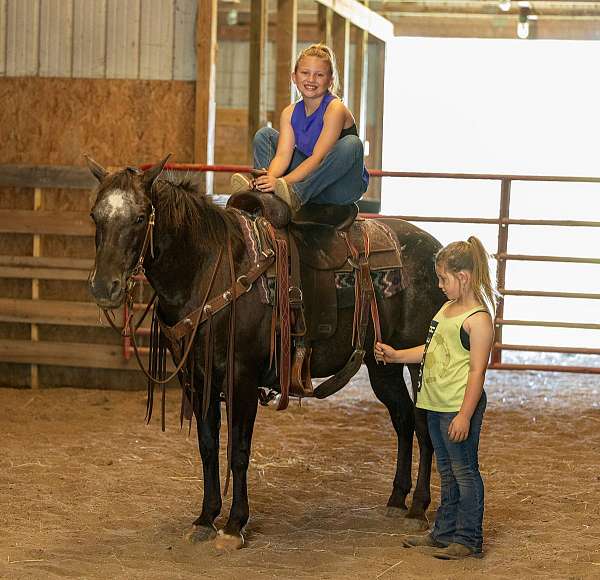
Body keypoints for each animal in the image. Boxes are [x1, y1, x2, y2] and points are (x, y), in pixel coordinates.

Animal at [88, 157, 446, 548]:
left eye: (140, 217)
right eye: (95, 216)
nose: (104, 287)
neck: (208, 270)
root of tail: (435, 249)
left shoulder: (242, 377)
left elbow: (239, 452)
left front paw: (234, 525)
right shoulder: (195, 378)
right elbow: (208, 446)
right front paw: (205, 518)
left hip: (417, 360)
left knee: (423, 423)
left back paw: (418, 508)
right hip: (381, 362)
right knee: (403, 418)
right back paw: (397, 499)